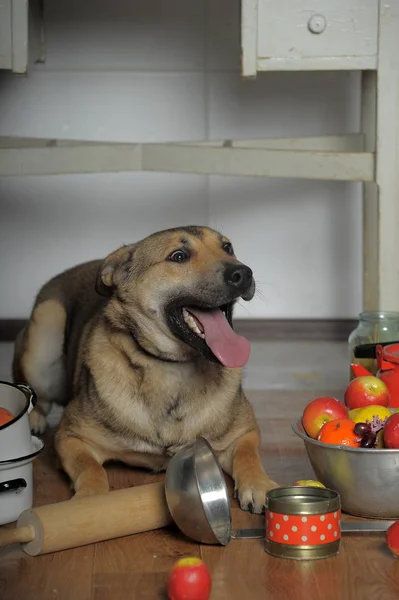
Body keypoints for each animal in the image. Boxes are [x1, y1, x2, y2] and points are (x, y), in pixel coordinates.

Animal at [14, 227, 280, 512]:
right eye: (179, 256)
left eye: (228, 248)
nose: (244, 273)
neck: (175, 369)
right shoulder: (70, 437)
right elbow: (91, 468)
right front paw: (90, 499)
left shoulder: (244, 433)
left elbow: (248, 455)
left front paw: (259, 484)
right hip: (44, 334)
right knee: (36, 393)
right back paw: (33, 419)